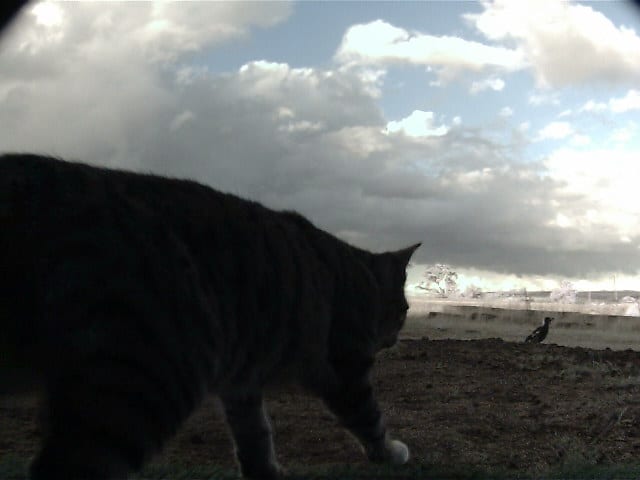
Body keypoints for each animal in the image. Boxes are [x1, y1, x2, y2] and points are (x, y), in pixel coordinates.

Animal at [1, 155, 420, 480]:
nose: (397, 338)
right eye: (404, 310)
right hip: (145, 374)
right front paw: (391, 453)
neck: (360, 275)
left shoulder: (243, 380)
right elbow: (370, 418)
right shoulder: (347, 366)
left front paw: (265, 472)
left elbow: (255, 434)